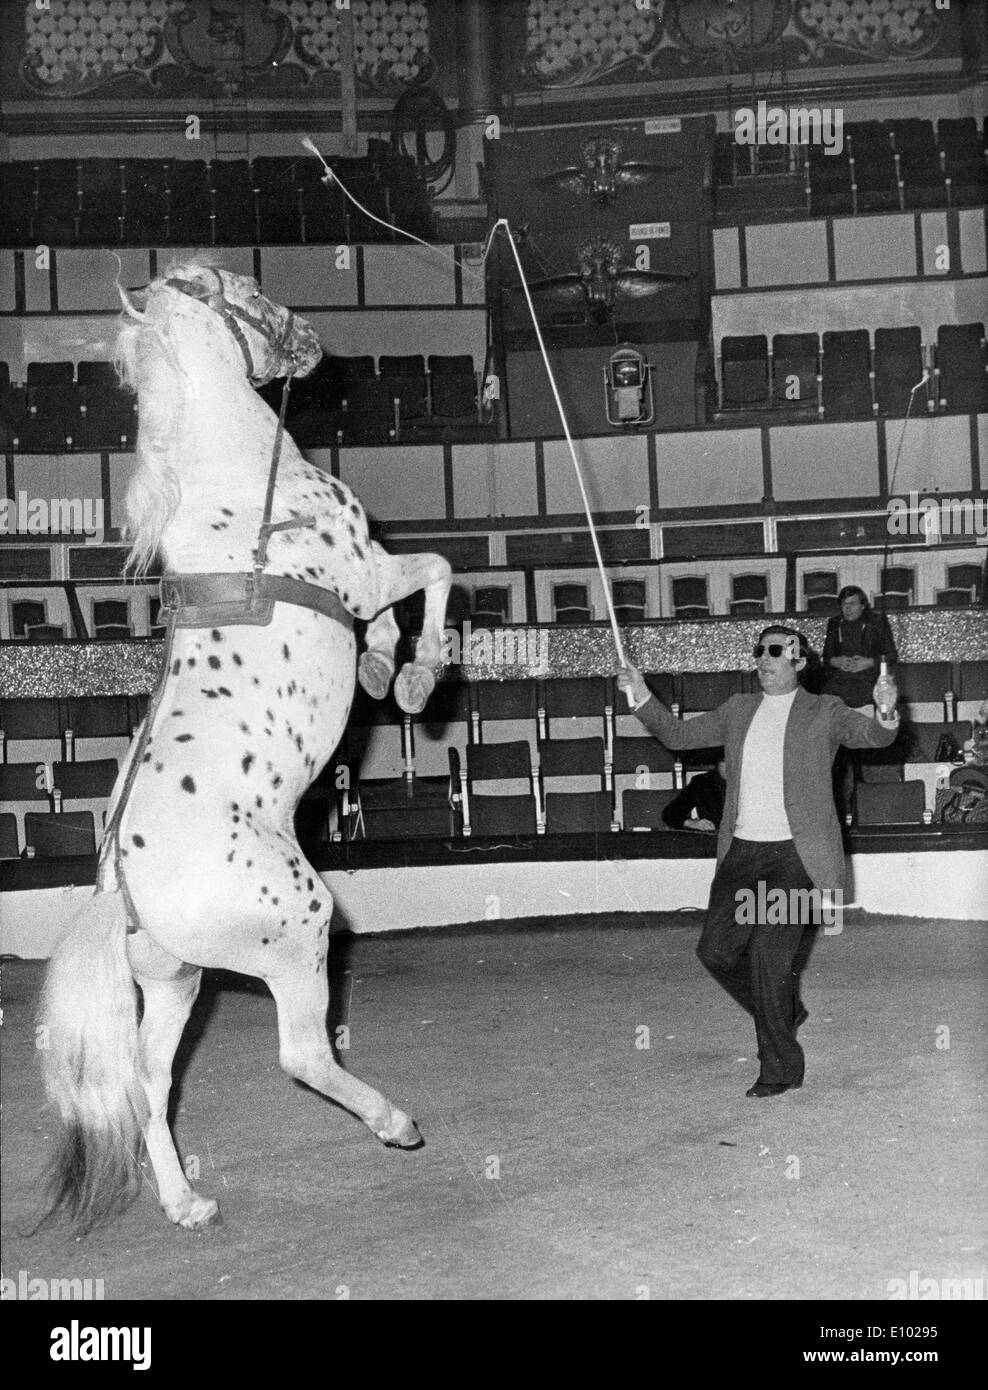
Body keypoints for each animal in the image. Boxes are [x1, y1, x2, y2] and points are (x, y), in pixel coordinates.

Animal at [37, 261, 453, 1228]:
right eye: (248, 293)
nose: (311, 341)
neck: (239, 482)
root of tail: (123, 890)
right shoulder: (370, 571)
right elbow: (434, 573)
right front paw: (416, 674)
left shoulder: (367, 585)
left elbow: (391, 618)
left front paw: (385, 669)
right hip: (298, 925)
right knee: (302, 1054)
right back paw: (395, 1123)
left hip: (177, 982)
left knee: (150, 1084)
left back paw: (187, 1204)